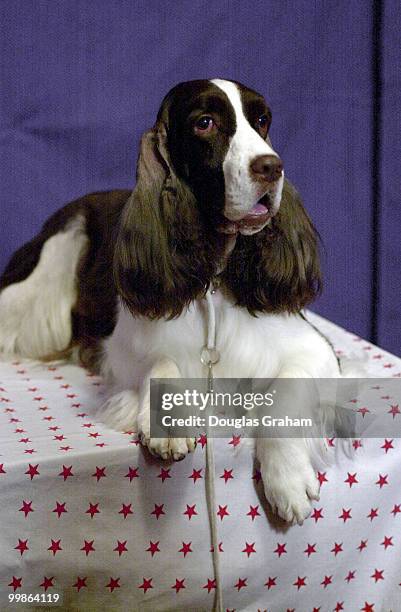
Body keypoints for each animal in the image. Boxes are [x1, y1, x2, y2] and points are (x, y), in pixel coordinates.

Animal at [0, 79, 340, 524]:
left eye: (262, 119)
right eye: (204, 123)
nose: (270, 167)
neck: (213, 276)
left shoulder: (315, 347)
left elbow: (286, 392)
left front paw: (289, 479)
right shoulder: (121, 349)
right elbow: (160, 361)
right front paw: (171, 425)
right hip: (52, 260)